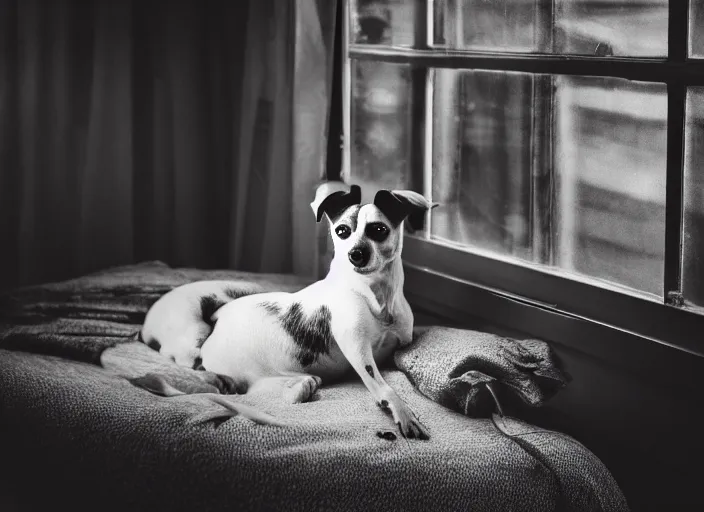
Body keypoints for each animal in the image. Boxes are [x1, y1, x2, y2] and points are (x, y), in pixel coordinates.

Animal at [138, 184, 434, 440]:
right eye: (342, 231)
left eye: (379, 229)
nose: (355, 254)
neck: (375, 296)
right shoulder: (358, 351)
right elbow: (384, 387)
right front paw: (403, 413)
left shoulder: (399, 342)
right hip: (221, 354)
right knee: (250, 392)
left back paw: (303, 385)